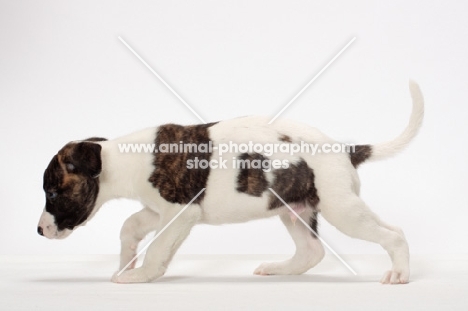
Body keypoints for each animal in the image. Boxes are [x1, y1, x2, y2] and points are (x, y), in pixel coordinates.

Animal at [37, 81, 424, 286]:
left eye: (52, 192)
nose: (39, 232)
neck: (122, 158)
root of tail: (343, 148)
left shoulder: (179, 212)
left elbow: (159, 246)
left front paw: (139, 275)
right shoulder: (159, 210)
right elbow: (130, 226)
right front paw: (127, 262)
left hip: (342, 208)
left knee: (393, 235)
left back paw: (400, 273)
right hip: (295, 210)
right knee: (311, 251)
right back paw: (278, 269)